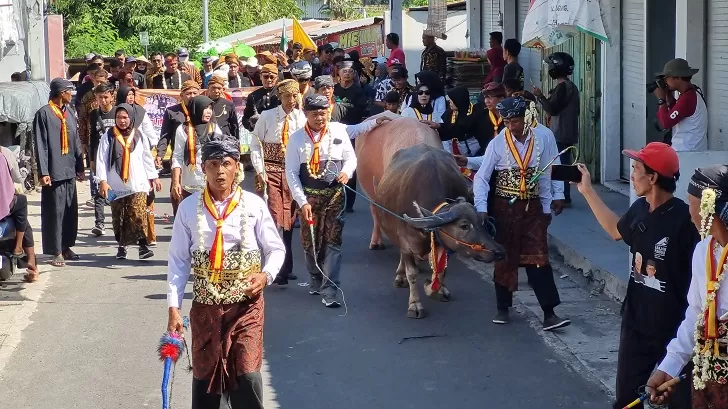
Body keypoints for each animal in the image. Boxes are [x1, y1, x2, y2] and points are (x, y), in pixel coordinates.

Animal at [370, 143, 506, 318]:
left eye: (482, 223)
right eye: (464, 226)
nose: (499, 251)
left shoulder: (444, 243)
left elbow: (441, 272)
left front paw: (433, 288)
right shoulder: (406, 242)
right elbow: (412, 273)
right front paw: (415, 304)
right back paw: (400, 276)